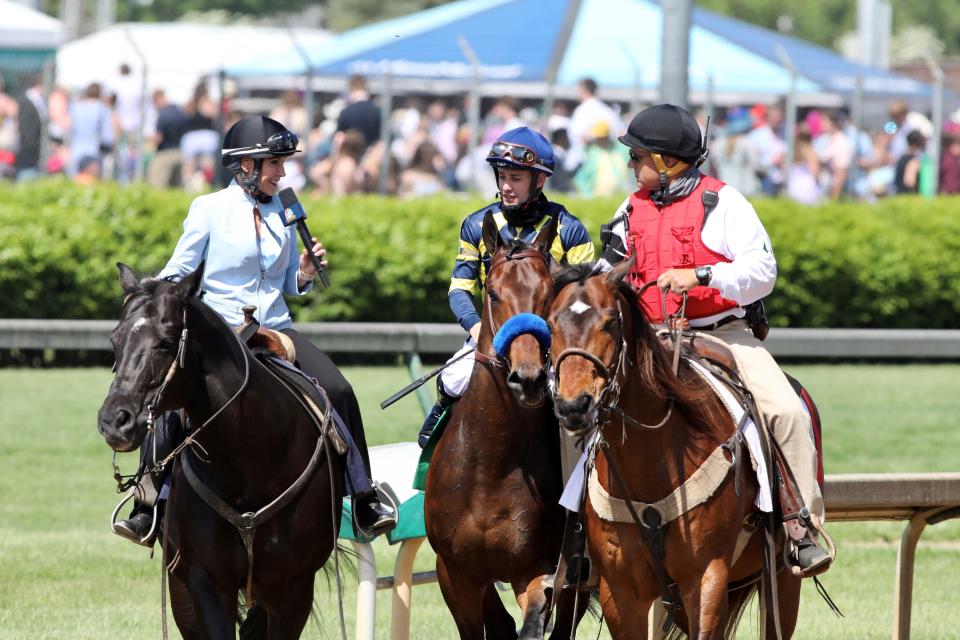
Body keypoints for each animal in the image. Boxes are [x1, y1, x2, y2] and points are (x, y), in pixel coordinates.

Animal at [97, 262, 344, 636]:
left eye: (166, 343)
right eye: (116, 340)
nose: (114, 421)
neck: (250, 462)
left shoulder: (294, 588)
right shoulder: (205, 583)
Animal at [426, 214, 588, 640]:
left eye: (546, 295)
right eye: (494, 294)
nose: (528, 378)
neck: (490, 465)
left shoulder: (538, 570)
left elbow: (533, 621)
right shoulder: (455, 574)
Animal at [548, 260, 804, 640]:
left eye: (609, 322)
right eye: (550, 324)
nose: (573, 405)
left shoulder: (706, 578)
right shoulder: (620, 591)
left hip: (783, 581)